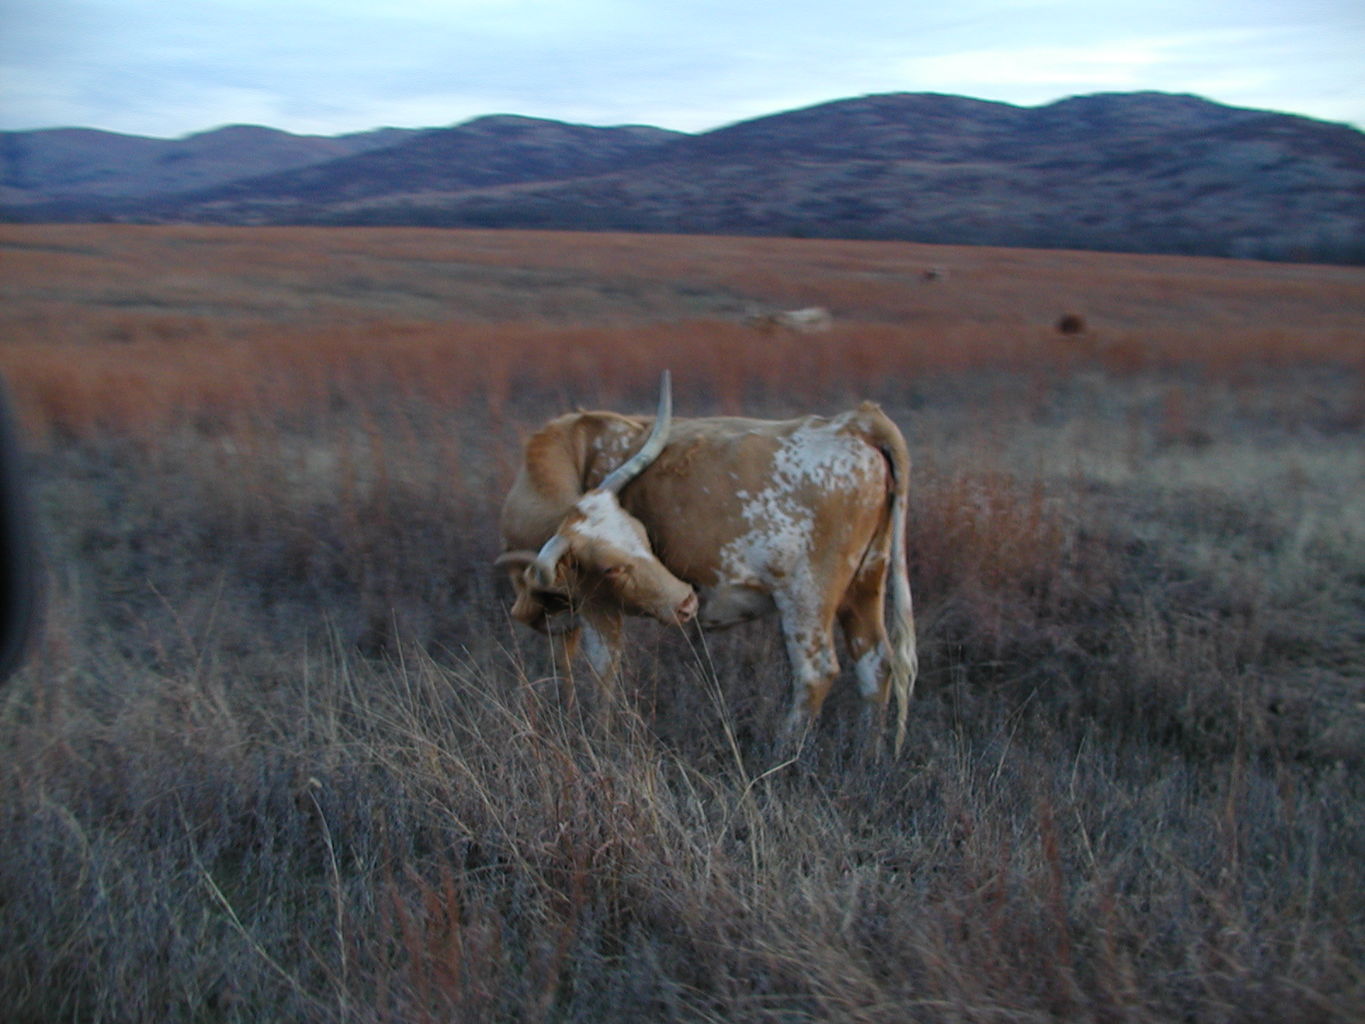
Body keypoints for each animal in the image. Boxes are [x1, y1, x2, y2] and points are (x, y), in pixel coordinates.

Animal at [494, 374, 917, 748]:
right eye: (615, 563)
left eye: (642, 537)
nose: (685, 599)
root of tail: (855, 423)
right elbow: (563, 665)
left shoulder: (597, 604)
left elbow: (602, 673)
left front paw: (597, 739)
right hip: (866, 582)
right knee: (876, 664)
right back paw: (867, 756)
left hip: (807, 595)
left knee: (815, 672)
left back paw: (782, 756)